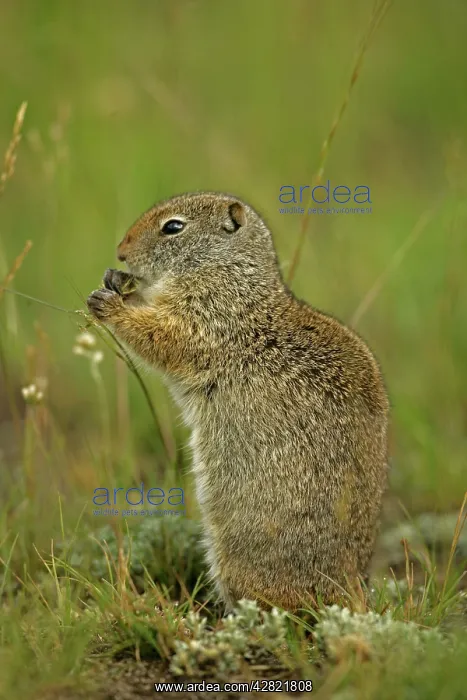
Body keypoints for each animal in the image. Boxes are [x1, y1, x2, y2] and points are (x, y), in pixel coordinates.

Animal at [87, 191, 389, 611]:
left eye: (173, 227)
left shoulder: (206, 314)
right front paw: (116, 280)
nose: (120, 251)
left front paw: (110, 303)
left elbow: (164, 335)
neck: (232, 270)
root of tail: (350, 589)